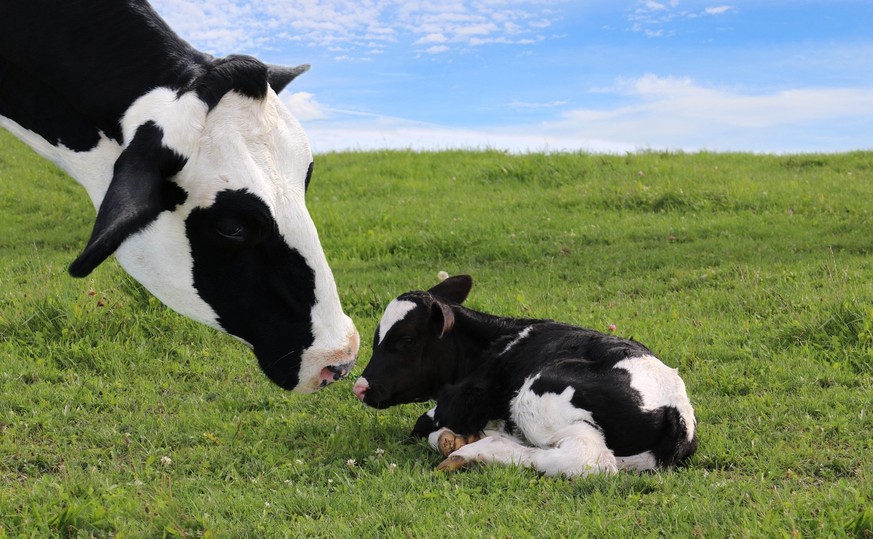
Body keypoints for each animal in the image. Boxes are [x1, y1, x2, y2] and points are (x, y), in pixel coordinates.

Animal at [350, 276, 700, 478]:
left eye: (406, 340)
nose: (360, 387)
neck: (493, 344)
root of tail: (676, 410)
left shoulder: (458, 403)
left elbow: (426, 425)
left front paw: (457, 440)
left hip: (539, 394)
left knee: (587, 460)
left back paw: (475, 451)